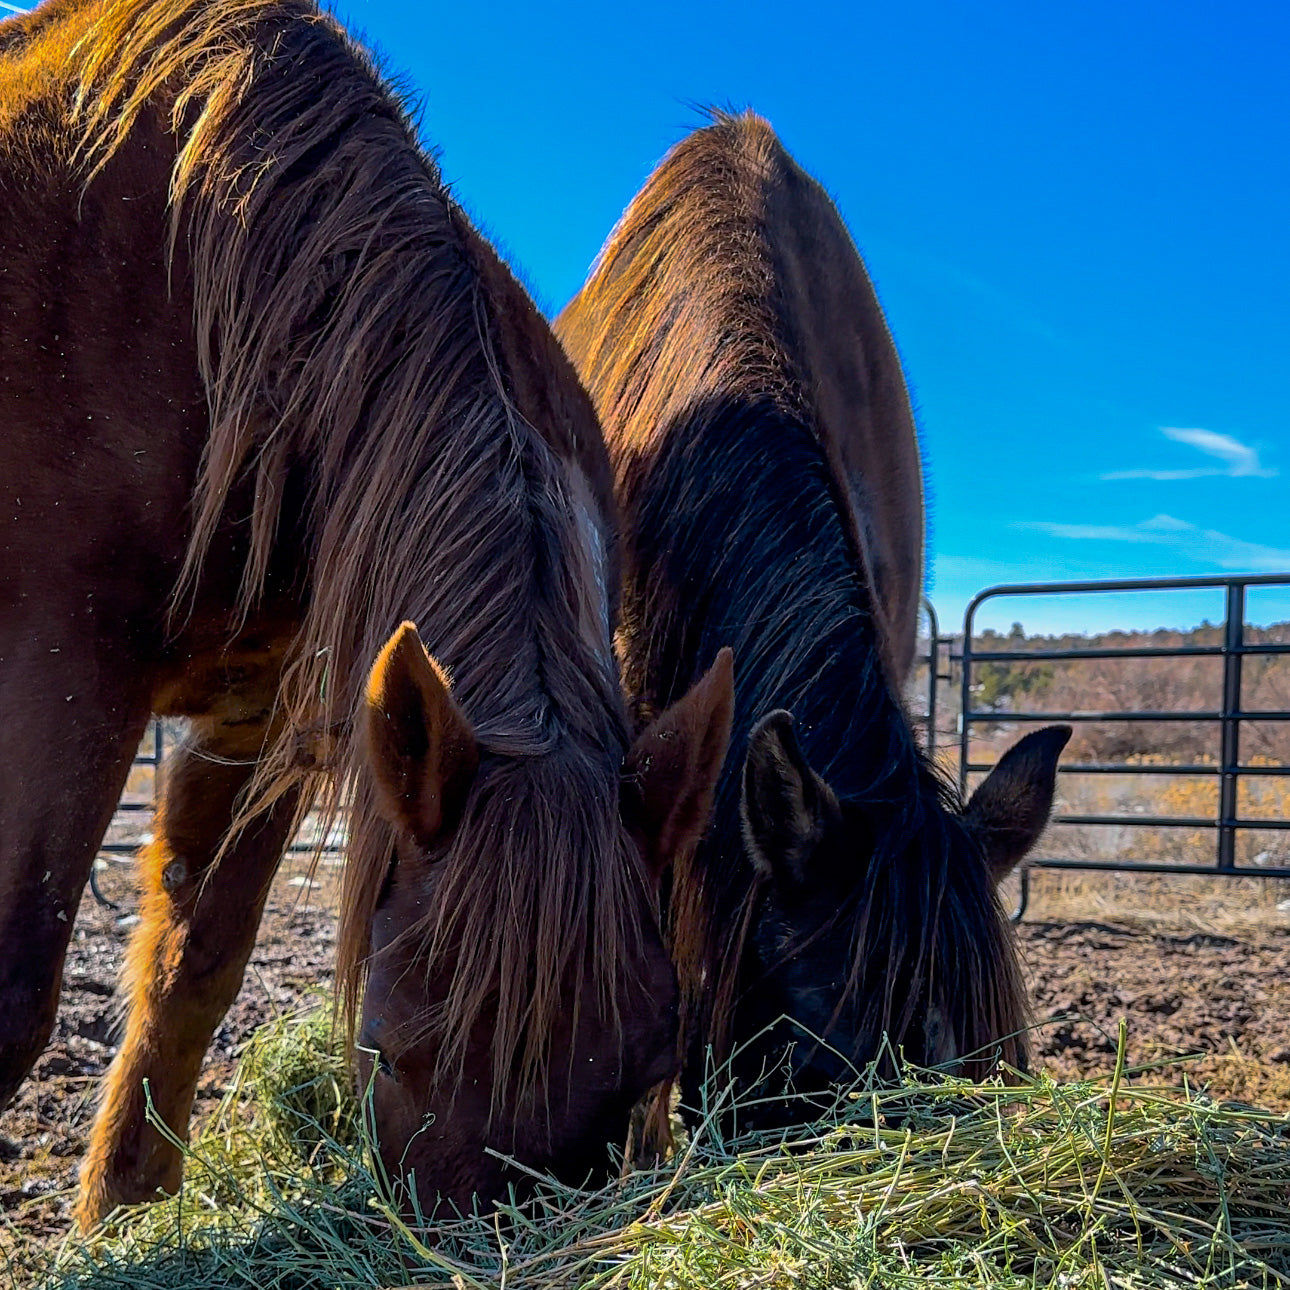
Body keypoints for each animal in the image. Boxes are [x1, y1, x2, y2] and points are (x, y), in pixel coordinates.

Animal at [0, 0, 732, 1228]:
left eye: (650, 1070)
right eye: (382, 1051)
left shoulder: (257, 718)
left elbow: (196, 960)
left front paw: (121, 1208)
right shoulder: (60, 673)